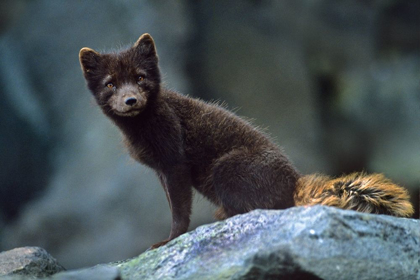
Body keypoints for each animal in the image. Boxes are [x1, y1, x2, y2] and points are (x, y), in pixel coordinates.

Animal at [79, 33, 414, 249]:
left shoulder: (174, 161)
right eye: (110, 84)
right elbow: (172, 204)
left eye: (140, 77)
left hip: (225, 167)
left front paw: (167, 241)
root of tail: (294, 180)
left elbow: (179, 210)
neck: (142, 130)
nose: (131, 100)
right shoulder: (160, 169)